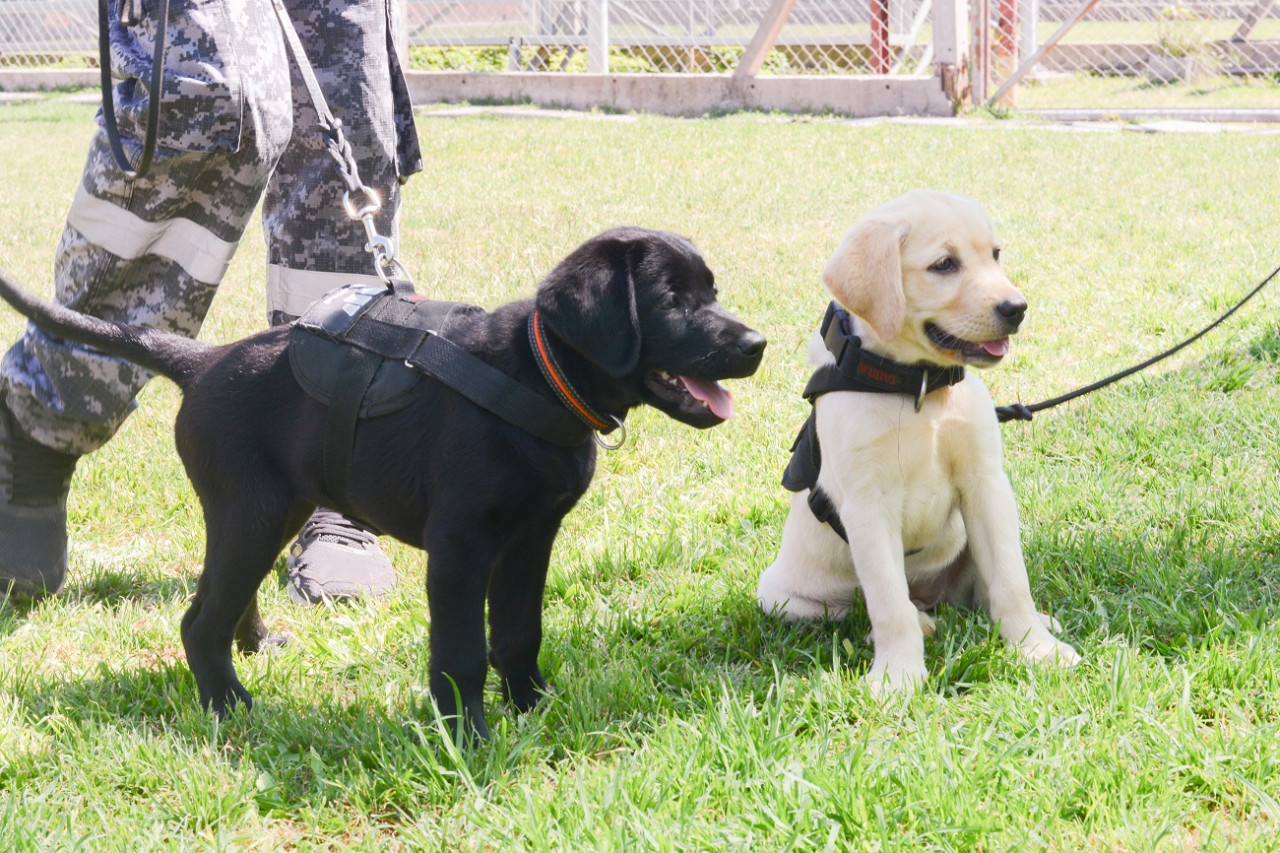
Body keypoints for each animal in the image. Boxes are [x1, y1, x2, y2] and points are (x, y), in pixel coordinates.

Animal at [0, 227, 757, 737]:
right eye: (670, 301)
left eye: (714, 293)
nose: (756, 344)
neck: (538, 375)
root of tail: (204, 360)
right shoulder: (461, 547)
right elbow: (460, 650)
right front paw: (468, 736)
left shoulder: (531, 539)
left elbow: (520, 631)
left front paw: (534, 707)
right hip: (252, 513)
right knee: (197, 618)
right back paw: (230, 707)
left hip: (268, 512)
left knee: (223, 594)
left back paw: (255, 646)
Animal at [757, 189, 1080, 696]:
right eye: (944, 265)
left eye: (995, 255)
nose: (1017, 308)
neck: (919, 388)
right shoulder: (868, 505)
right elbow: (889, 603)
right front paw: (898, 677)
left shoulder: (985, 484)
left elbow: (1011, 579)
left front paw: (1035, 647)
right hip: (783, 598)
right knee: (871, 608)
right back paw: (918, 625)